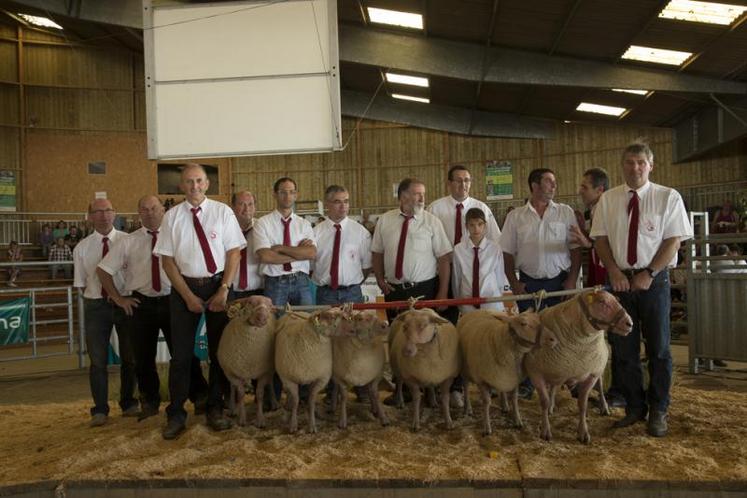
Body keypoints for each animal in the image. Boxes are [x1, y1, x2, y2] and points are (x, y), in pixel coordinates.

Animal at [216, 296, 278, 428]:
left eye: (270, 306)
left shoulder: (264, 372)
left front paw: (260, 420)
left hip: (269, 369)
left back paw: (274, 403)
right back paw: (233, 409)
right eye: (250, 302)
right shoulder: (232, 373)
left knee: (270, 383)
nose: (262, 318)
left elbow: (259, 394)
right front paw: (242, 419)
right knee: (232, 387)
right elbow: (240, 394)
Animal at [524, 288, 636, 444]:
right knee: (553, 388)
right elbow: (544, 402)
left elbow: (583, 405)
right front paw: (545, 431)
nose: (629, 324)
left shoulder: (591, 375)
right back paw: (552, 406)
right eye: (602, 302)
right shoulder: (537, 374)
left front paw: (583, 433)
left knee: (600, 387)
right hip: (557, 369)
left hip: (598, 370)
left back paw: (604, 407)